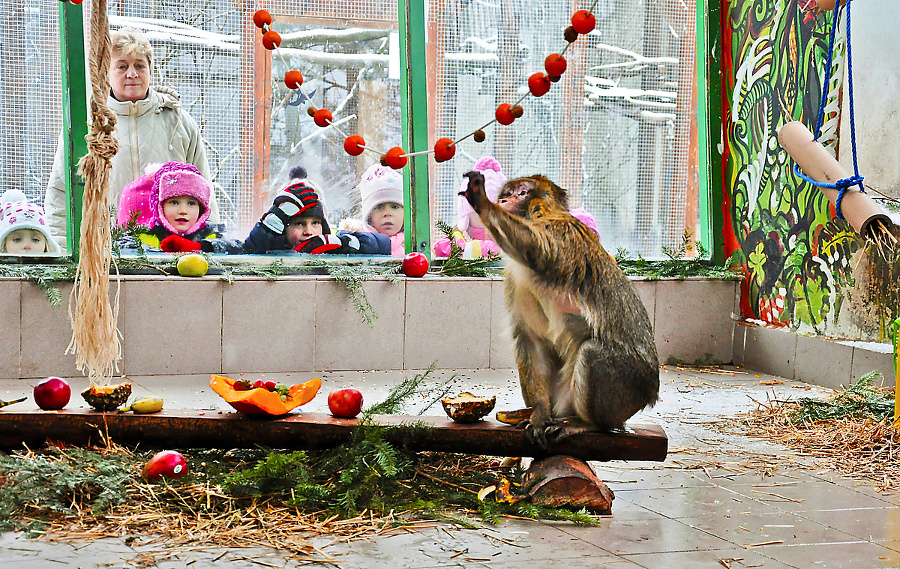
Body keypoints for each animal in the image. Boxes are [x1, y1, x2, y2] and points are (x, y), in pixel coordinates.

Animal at [464, 171, 660, 446]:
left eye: (521, 192)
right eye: (507, 193)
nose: (503, 201)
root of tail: (651, 393)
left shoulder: (559, 227)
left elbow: (539, 249)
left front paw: (481, 202)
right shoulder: (515, 281)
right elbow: (530, 338)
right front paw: (539, 414)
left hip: (630, 385)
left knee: (590, 352)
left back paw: (588, 424)